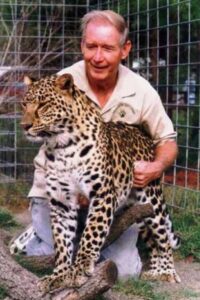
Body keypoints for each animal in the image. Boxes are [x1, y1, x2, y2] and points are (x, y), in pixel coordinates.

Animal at [21, 74, 180, 292]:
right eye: (24, 104)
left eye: (43, 105)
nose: (24, 126)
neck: (62, 146)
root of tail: (143, 134)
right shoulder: (61, 201)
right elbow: (61, 243)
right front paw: (59, 275)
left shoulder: (102, 194)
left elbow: (91, 234)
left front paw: (79, 270)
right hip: (138, 209)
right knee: (152, 238)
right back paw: (155, 269)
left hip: (151, 198)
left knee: (163, 236)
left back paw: (166, 271)